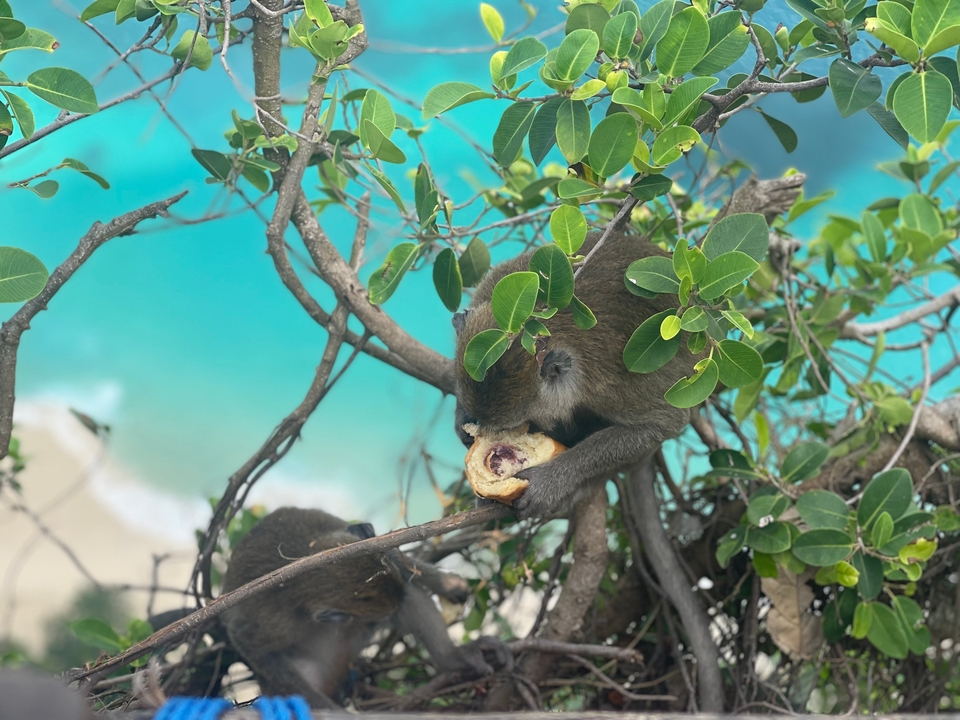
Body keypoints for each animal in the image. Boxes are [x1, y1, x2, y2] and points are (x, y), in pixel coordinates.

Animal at [220, 507, 511, 709]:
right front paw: (330, 712)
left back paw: (453, 658)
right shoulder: (272, 621)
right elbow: (249, 643)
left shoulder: (335, 535)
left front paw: (448, 584)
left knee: (408, 595)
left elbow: (383, 550)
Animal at [454, 232, 698, 520]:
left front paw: (550, 482)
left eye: (527, 424)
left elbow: (664, 422)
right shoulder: (494, 287)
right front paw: (462, 420)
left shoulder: (612, 383)